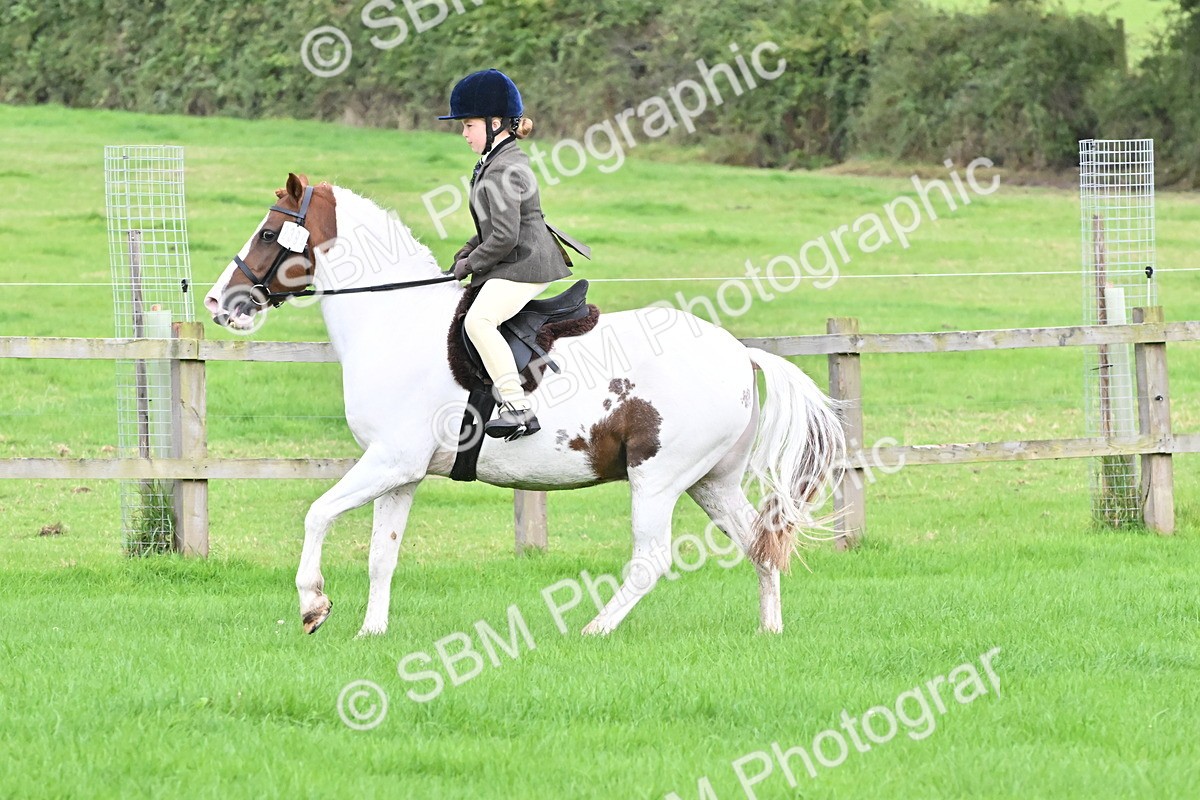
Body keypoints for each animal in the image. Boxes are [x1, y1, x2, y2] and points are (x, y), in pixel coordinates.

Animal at [204, 173, 845, 637]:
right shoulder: (401, 473)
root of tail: (740, 353)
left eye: (268, 234)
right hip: (712, 481)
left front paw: (313, 605)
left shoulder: (390, 461)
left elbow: (317, 514)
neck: (393, 321)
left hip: (657, 479)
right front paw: (372, 633)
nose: (217, 303)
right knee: (760, 545)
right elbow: (381, 556)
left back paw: (592, 630)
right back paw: (769, 631)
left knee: (651, 560)